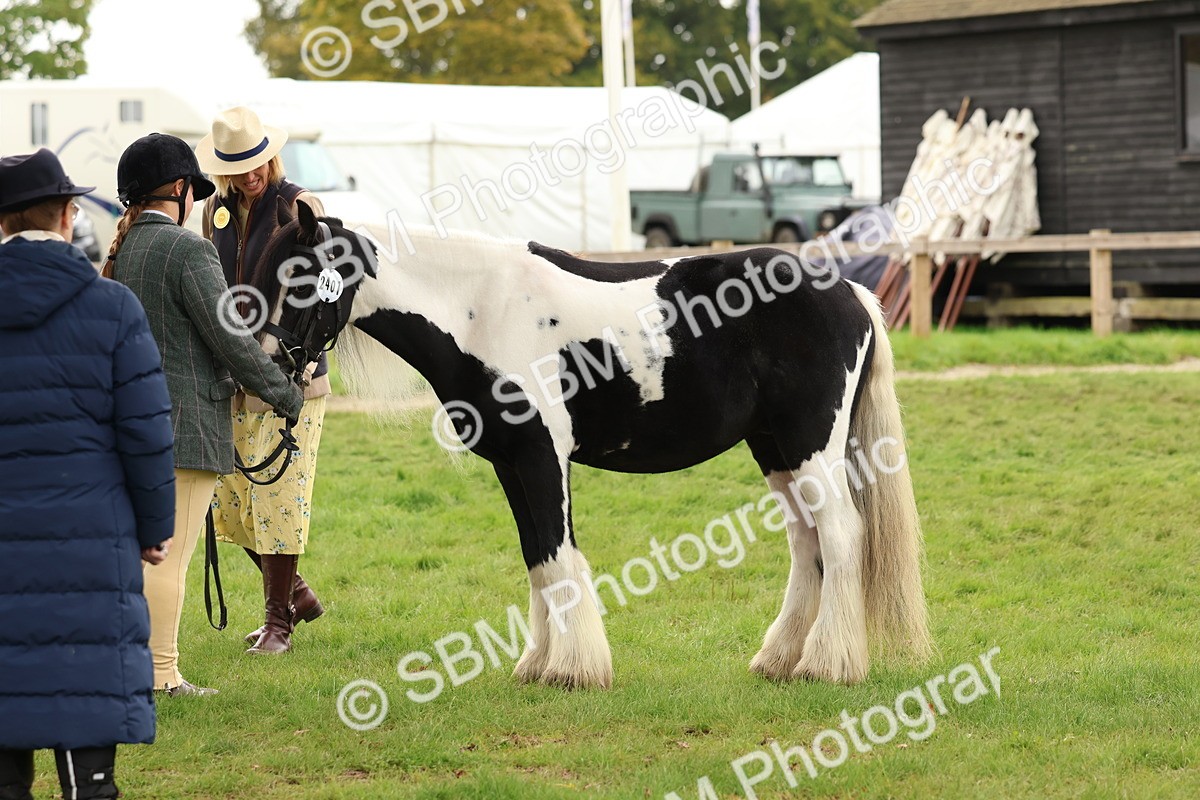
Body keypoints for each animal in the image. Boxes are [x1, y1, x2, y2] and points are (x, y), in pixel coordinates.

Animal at [256, 199, 931, 688]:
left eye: (300, 281)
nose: (266, 366)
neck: (481, 308)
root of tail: (849, 292)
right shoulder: (510, 464)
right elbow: (537, 558)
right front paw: (536, 665)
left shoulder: (541, 457)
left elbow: (560, 557)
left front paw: (573, 670)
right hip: (774, 448)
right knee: (806, 542)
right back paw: (779, 661)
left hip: (810, 444)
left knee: (840, 535)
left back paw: (826, 666)